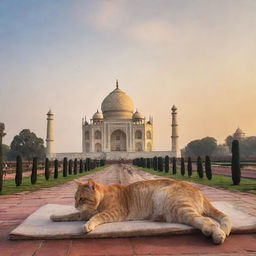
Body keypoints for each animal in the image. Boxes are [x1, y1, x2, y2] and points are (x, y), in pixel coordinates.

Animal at [50, 178, 232, 244]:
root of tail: (200, 191)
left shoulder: (114, 213)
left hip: (179, 207)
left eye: (81, 199)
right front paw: (55, 216)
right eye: (74, 198)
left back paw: (217, 236)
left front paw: (88, 225)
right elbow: (70, 215)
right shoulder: (82, 213)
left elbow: (96, 217)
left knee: (207, 221)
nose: (75, 204)